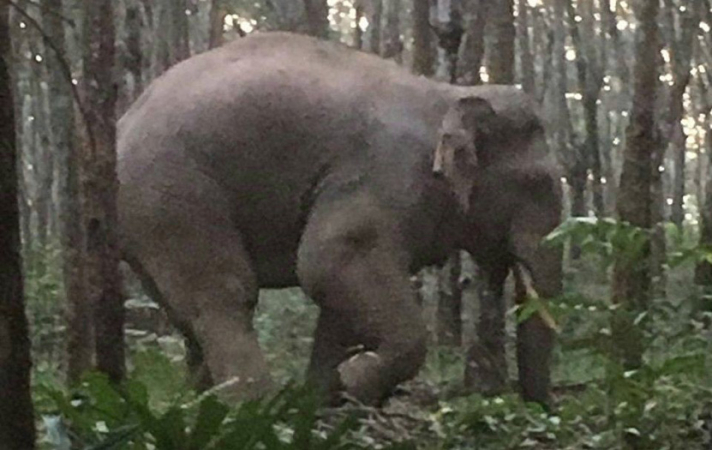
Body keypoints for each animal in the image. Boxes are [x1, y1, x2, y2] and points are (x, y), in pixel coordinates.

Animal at [117, 31, 562, 407]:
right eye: (538, 183)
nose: (539, 408)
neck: (448, 94)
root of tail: (123, 122)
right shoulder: (383, 176)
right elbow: (327, 261)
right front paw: (353, 380)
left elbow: (336, 301)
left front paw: (325, 399)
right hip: (174, 191)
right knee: (225, 294)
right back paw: (252, 407)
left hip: (146, 216)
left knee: (184, 313)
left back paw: (199, 407)